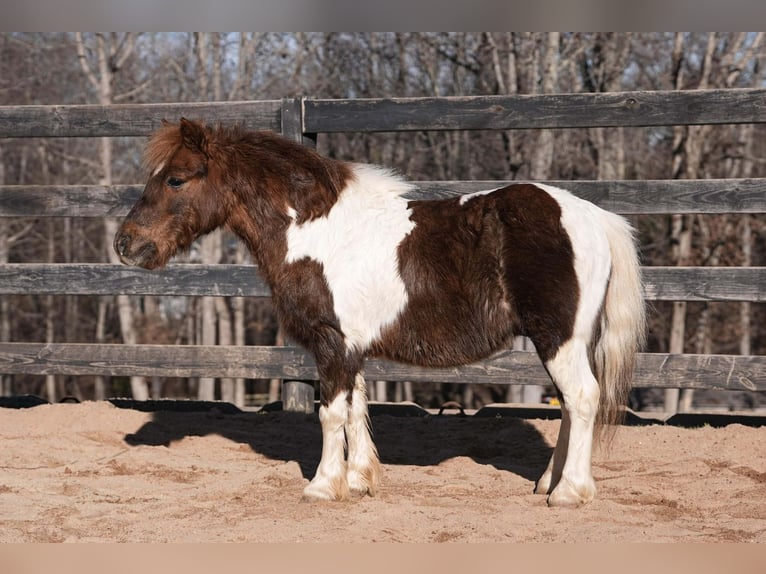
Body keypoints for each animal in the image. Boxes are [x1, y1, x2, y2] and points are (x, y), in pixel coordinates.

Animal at [114, 118, 646, 507]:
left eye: (176, 178)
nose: (125, 244)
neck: (313, 228)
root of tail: (594, 216)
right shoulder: (351, 347)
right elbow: (355, 409)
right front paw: (359, 481)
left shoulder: (330, 343)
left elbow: (330, 413)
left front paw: (322, 485)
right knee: (569, 405)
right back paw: (547, 483)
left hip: (558, 337)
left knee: (582, 398)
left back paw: (569, 493)